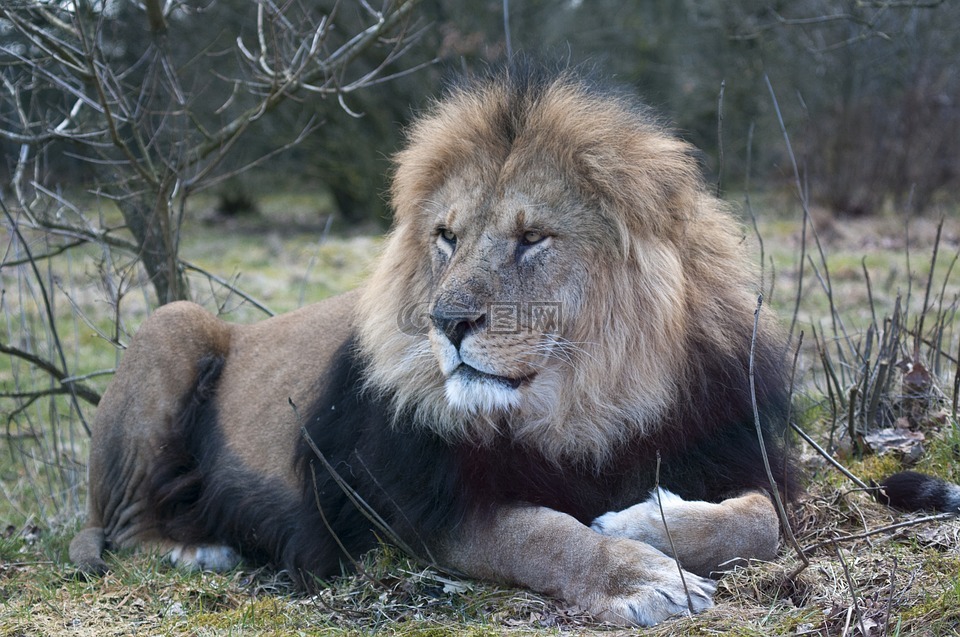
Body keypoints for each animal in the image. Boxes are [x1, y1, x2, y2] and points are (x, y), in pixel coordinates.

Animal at [69, 64, 804, 628]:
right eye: (447, 237)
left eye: (532, 238)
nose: (445, 320)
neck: (587, 406)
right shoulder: (412, 506)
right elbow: (542, 535)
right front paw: (641, 577)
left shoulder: (729, 444)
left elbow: (760, 518)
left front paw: (643, 518)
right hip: (173, 323)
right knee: (123, 527)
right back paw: (198, 550)